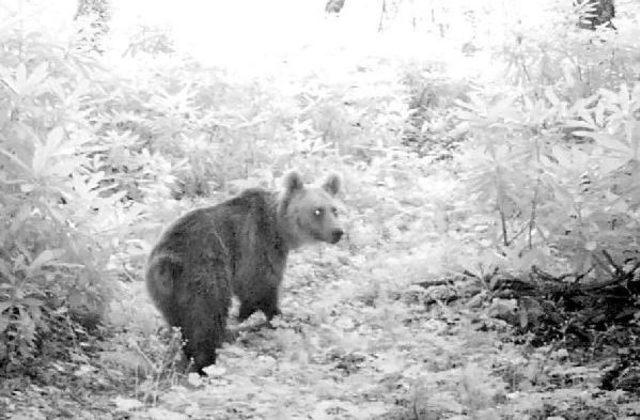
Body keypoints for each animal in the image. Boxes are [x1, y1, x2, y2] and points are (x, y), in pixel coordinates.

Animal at [146, 171, 344, 374]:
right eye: (317, 211)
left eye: (335, 210)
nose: (338, 231)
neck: (280, 229)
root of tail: (168, 261)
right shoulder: (257, 245)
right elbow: (260, 287)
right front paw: (278, 317)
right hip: (203, 272)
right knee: (207, 318)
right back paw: (206, 363)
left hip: (166, 293)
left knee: (181, 325)